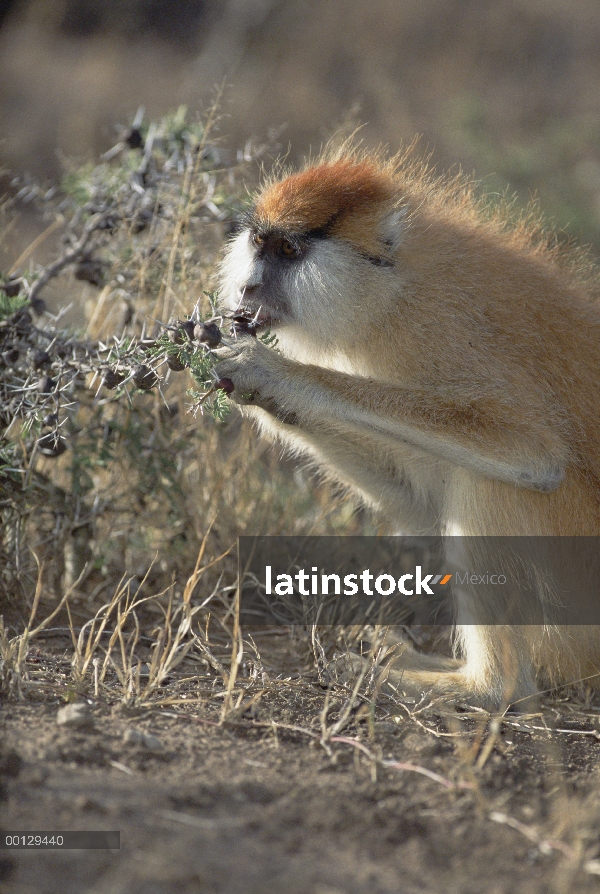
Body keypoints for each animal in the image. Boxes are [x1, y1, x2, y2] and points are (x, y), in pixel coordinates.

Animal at [218, 145, 600, 708]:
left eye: (289, 250)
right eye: (259, 244)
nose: (248, 286)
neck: (389, 289)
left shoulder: (436, 326)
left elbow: (531, 452)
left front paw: (275, 374)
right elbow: (419, 507)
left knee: (489, 483)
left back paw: (484, 687)